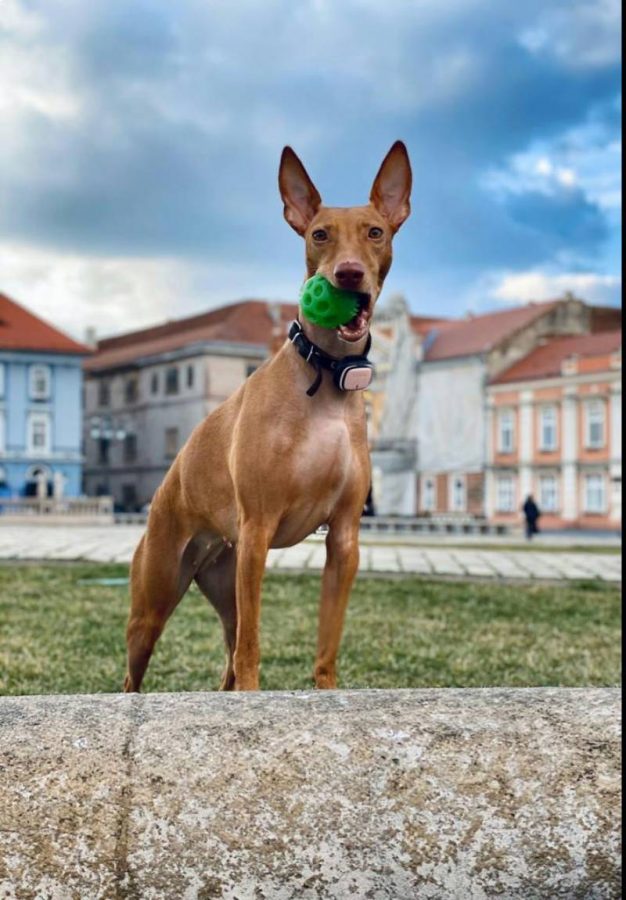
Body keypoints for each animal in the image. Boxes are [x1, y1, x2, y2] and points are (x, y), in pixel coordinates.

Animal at [124, 141, 412, 692]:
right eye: (319, 234)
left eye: (375, 232)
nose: (347, 274)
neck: (326, 379)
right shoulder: (257, 531)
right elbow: (253, 649)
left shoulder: (344, 540)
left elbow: (325, 648)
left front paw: (327, 691)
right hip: (158, 600)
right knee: (150, 670)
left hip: (225, 584)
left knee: (228, 661)